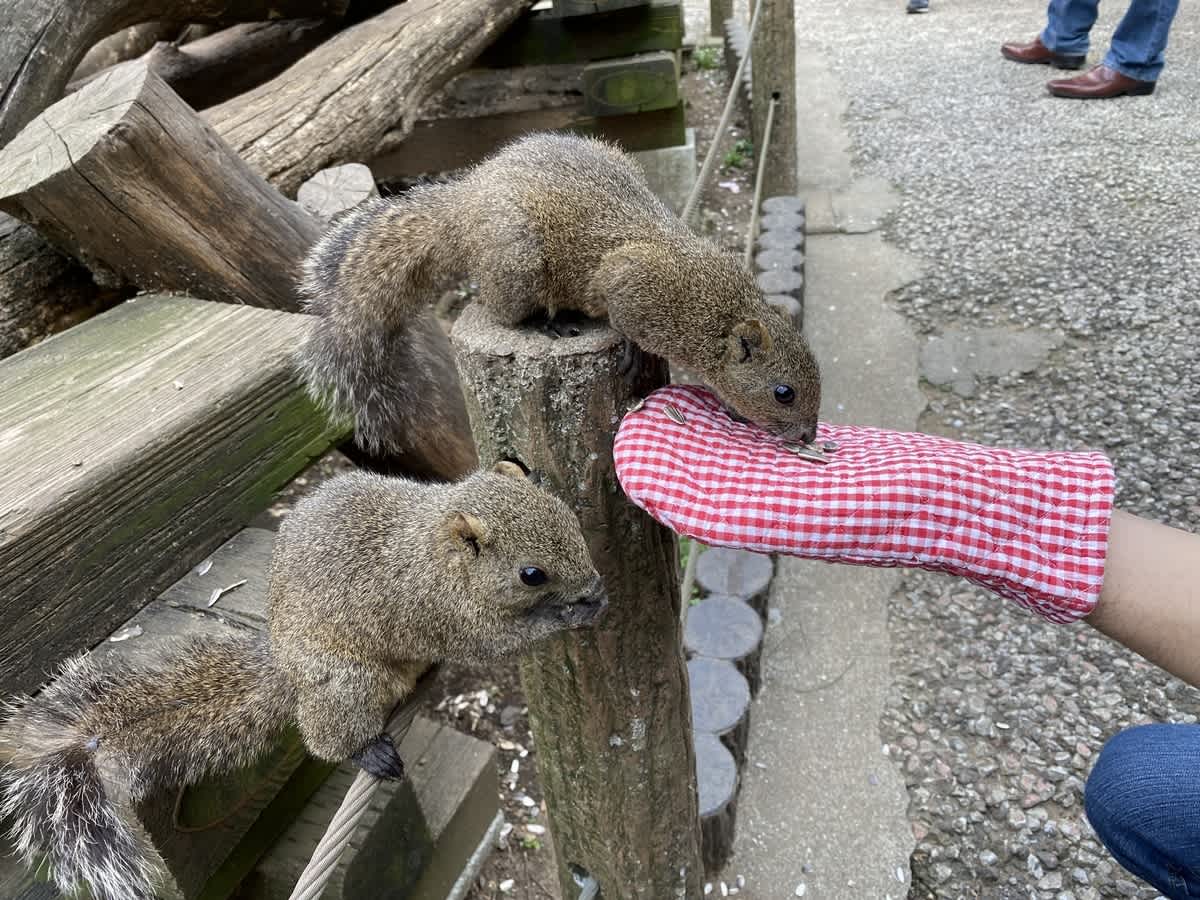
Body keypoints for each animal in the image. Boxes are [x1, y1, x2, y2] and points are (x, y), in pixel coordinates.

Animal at [0, 462, 606, 900]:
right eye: (531, 574)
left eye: (570, 519)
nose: (594, 583)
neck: (435, 549)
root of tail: (287, 671)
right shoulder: (442, 613)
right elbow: (493, 642)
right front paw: (572, 613)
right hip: (349, 682)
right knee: (324, 735)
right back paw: (367, 750)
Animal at [298, 132, 822, 454]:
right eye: (784, 392)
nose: (808, 435)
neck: (718, 310)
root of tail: (461, 210)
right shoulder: (634, 283)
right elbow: (621, 315)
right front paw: (630, 348)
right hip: (517, 259)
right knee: (504, 310)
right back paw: (548, 322)